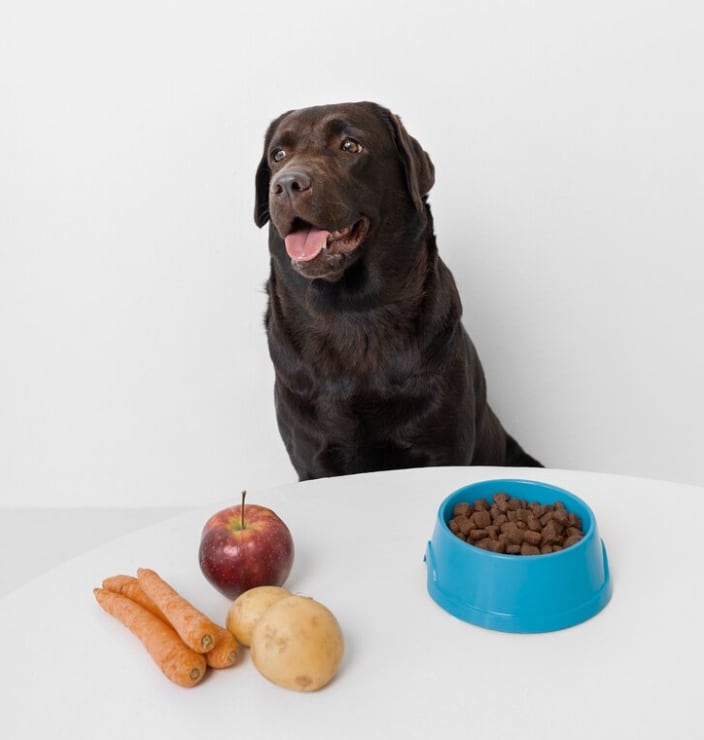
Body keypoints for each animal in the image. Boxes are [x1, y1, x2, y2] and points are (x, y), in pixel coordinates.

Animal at [256, 101, 540, 480]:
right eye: (278, 154)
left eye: (350, 146)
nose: (287, 183)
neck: (351, 310)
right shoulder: (312, 461)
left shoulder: (442, 450)